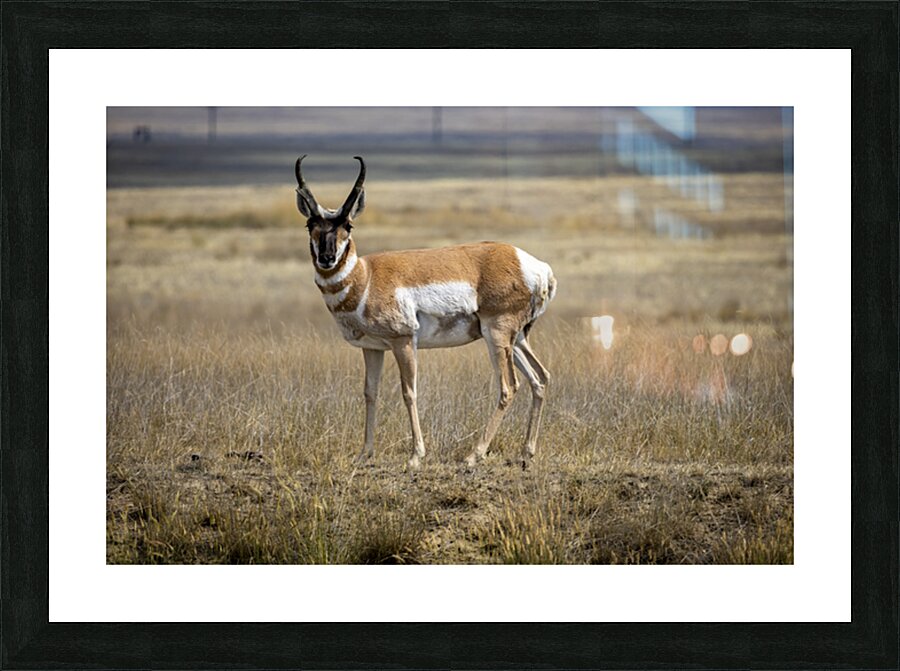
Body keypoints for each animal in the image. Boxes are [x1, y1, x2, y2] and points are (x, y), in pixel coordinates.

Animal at [295, 155, 556, 469]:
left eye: (348, 224)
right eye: (310, 224)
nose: (327, 258)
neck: (366, 276)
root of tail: (534, 265)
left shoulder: (404, 342)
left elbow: (409, 392)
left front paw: (415, 456)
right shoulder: (373, 348)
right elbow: (370, 393)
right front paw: (364, 454)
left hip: (497, 335)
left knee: (509, 387)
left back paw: (474, 455)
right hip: (515, 340)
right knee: (540, 378)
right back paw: (526, 453)